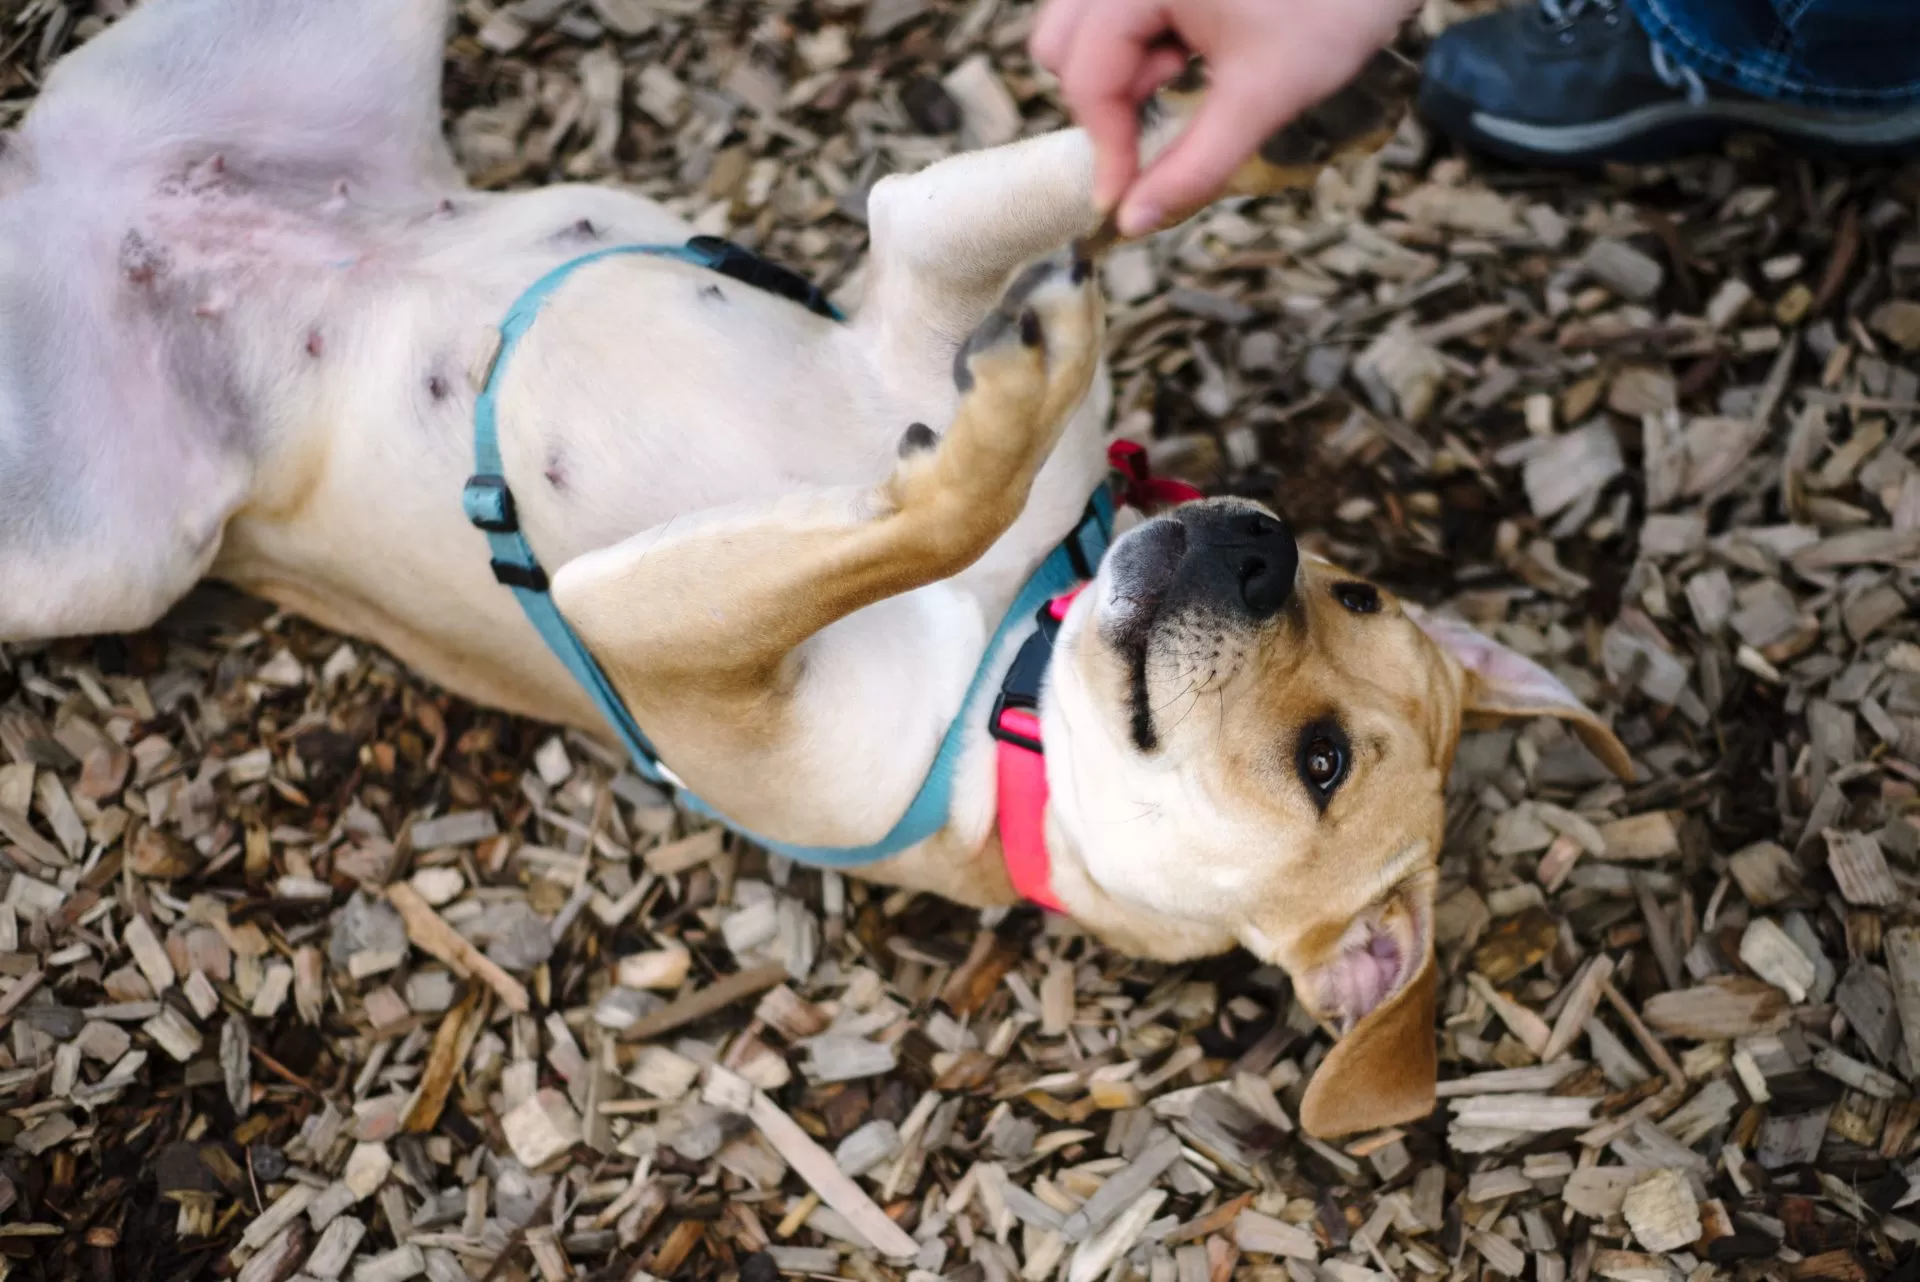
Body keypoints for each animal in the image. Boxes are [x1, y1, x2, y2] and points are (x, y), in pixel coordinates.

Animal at [0, 0, 1635, 1143]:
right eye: (1347, 588)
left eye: (1320, 760)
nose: (1256, 541)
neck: (1018, 664)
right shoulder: (915, 272)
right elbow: (1058, 198)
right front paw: (1275, 109)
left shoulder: (665, 640)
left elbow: (921, 508)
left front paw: (1010, 398)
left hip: (97, 557)